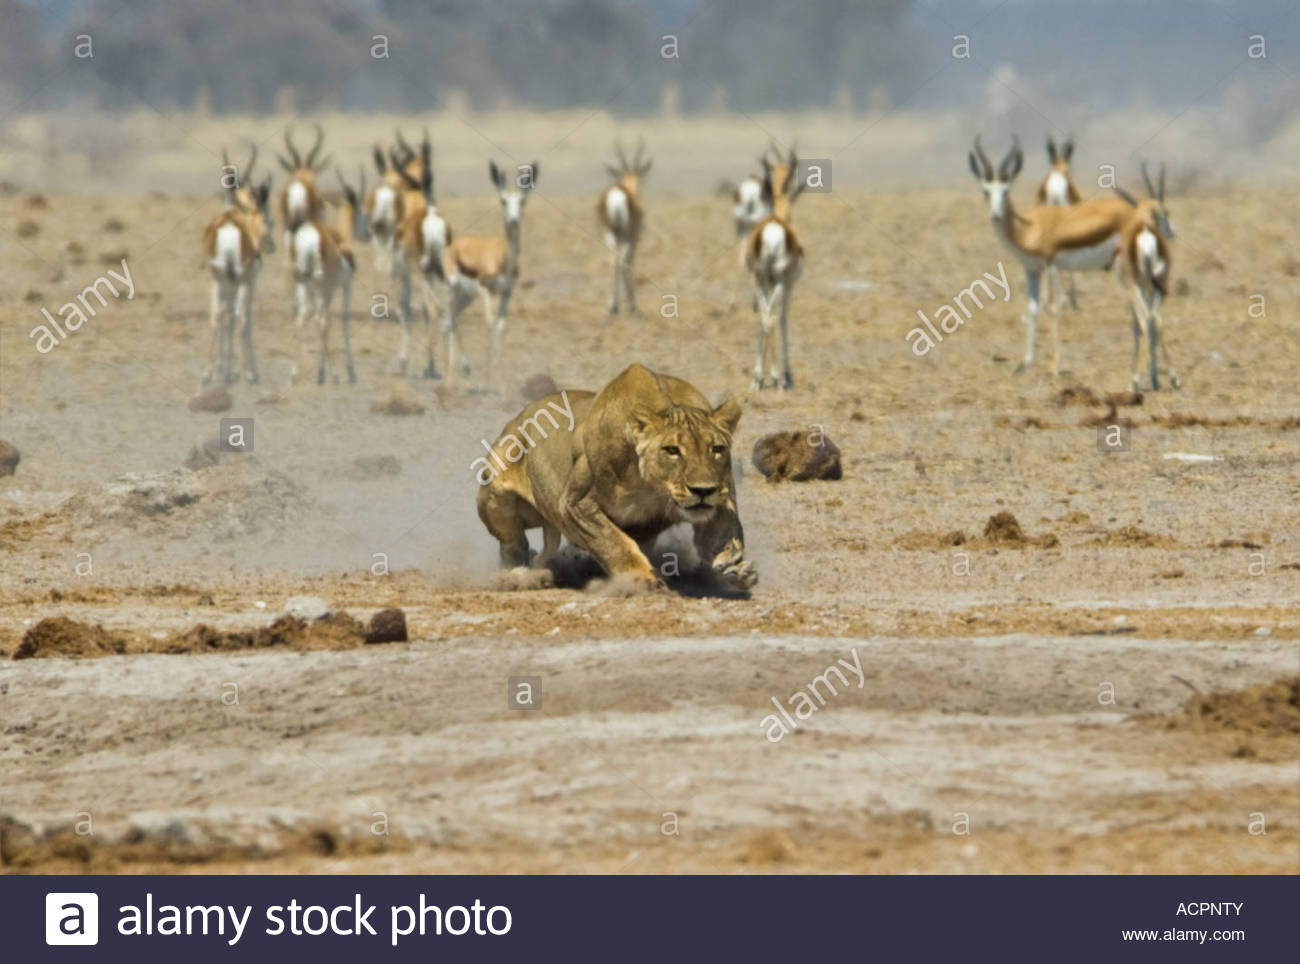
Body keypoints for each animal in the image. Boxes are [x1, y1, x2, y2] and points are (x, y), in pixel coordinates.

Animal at [476, 364, 757, 592]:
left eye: (717, 449)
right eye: (672, 450)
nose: (703, 490)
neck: (652, 488)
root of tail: (521, 414)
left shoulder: (722, 498)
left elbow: (723, 533)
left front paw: (735, 567)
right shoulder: (575, 503)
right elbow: (614, 542)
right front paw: (642, 579)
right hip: (494, 491)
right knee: (513, 543)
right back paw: (518, 574)